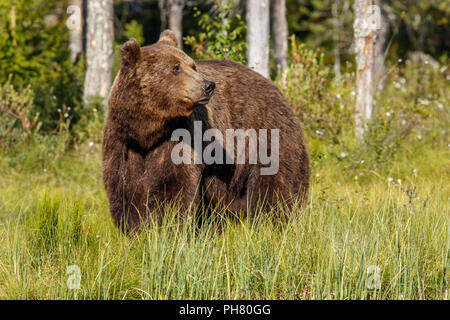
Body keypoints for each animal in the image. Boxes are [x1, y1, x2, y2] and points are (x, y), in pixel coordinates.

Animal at [103, 30, 310, 231]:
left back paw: (275, 222)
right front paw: (137, 229)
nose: (208, 85)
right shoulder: (122, 143)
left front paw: (168, 227)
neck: (147, 131)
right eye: (176, 68)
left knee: (276, 186)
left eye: (192, 65)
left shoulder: (182, 135)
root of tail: (274, 86)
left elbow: (176, 187)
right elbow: (125, 191)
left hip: (267, 136)